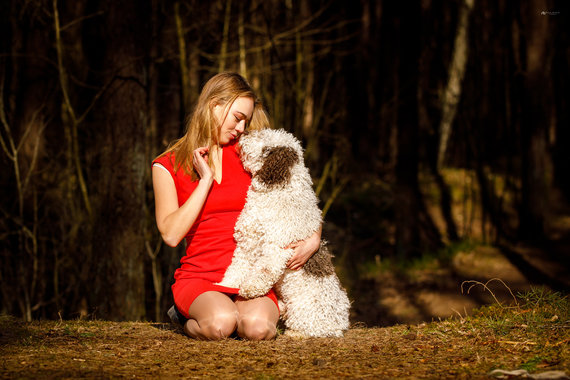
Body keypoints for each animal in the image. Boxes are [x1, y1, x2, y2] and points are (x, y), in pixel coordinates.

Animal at [215, 128, 348, 338]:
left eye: (267, 148)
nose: (245, 132)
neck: (279, 190)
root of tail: (340, 325)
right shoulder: (247, 245)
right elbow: (236, 268)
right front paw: (226, 284)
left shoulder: (276, 248)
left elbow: (263, 270)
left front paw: (249, 288)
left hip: (303, 311)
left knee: (311, 330)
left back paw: (295, 333)